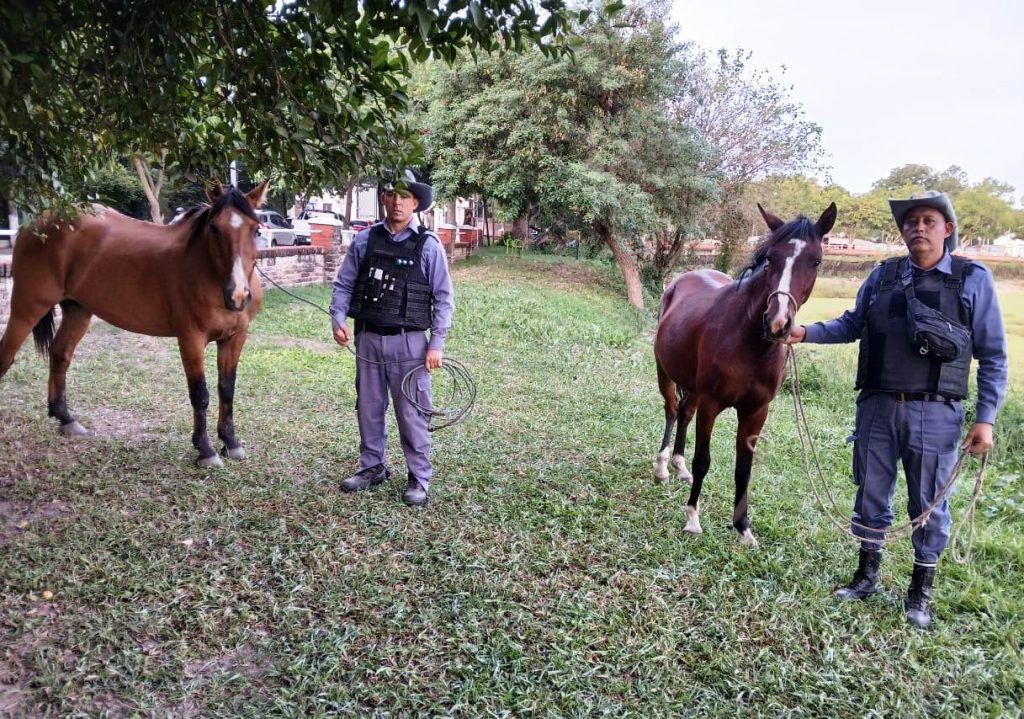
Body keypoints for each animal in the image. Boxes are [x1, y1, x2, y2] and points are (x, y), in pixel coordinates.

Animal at [0, 181, 269, 468]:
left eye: (256, 230)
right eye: (215, 228)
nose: (238, 295)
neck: (207, 270)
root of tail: (36, 223)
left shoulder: (235, 337)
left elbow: (227, 389)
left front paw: (231, 441)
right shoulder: (191, 339)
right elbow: (200, 394)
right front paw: (205, 450)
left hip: (77, 311)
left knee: (60, 354)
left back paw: (66, 419)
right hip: (26, 310)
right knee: (5, 357)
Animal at [653, 202, 837, 546]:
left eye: (816, 261)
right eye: (770, 259)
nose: (778, 324)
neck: (750, 344)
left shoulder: (756, 411)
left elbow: (744, 469)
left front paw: (743, 527)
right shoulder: (711, 404)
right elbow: (704, 460)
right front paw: (693, 518)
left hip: (693, 388)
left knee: (684, 412)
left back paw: (678, 465)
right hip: (665, 372)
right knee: (671, 411)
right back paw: (662, 468)